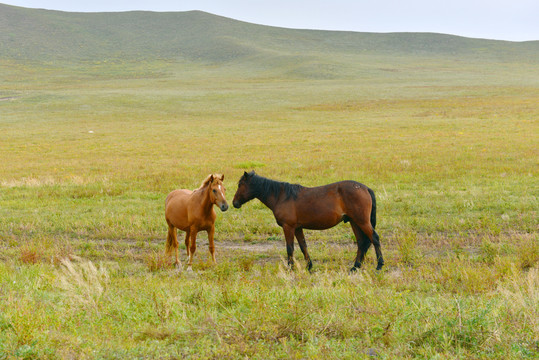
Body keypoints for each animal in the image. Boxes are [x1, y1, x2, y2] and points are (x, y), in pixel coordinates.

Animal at [232, 171, 384, 270]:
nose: (234, 203)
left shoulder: (288, 227)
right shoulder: (298, 227)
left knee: (374, 238)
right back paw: (355, 267)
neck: (281, 196)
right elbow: (303, 246)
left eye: (240, 184)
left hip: (362, 221)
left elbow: (290, 248)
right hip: (354, 222)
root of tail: (365, 188)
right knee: (361, 243)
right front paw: (309, 266)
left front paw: (290, 267)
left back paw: (379, 265)